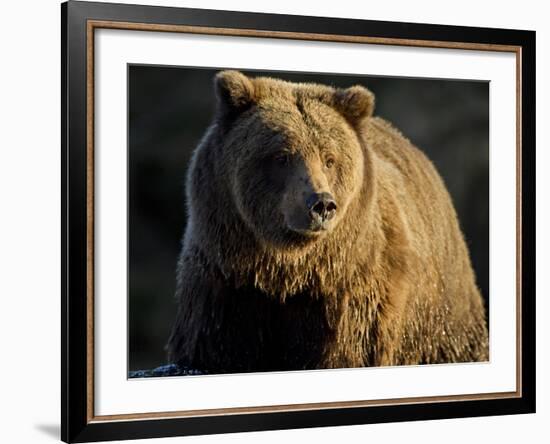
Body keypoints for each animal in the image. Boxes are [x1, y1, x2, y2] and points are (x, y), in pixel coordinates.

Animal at [166, 70, 490, 374]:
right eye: (282, 156)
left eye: (329, 158)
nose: (321, 203)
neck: (288, 269)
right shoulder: (226, 279)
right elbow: (216, 345)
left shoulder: (351, 292)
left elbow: (345, 351)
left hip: (440, 313)